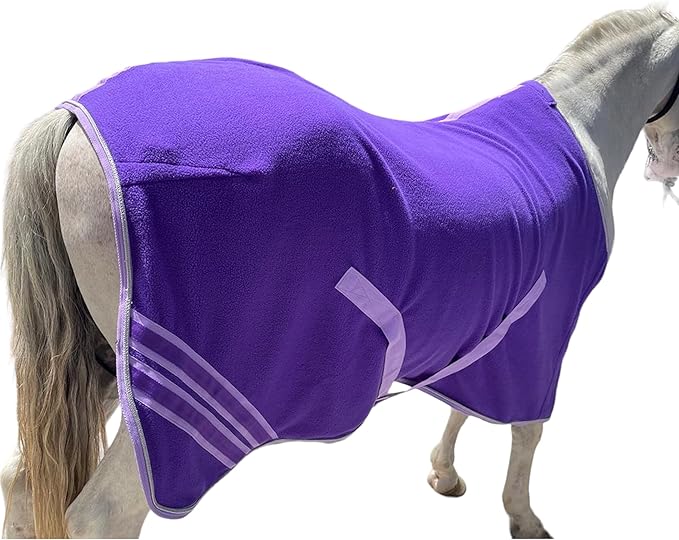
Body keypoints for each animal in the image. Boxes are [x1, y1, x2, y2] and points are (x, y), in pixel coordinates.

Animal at [2, 6, 678, 539]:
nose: (667, 172)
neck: (576, 122)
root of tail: (74, 119)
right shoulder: (543, 332)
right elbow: (528, 429)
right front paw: (523, 518)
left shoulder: (488, 323)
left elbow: (465, 403)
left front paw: (445, 473)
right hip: (168, 419)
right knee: (103, 515)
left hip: (98, 364)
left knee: (23, 484)